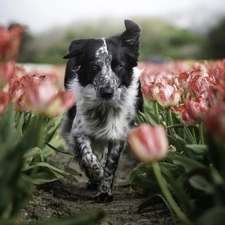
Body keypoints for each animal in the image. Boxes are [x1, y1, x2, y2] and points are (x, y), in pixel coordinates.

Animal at [61, 19, 142, 202]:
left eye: (119, 66)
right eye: (95, 66)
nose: (107, 92)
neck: (104, 108)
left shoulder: (118, 135)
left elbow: (110, 165)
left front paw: (104, 191)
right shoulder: (78, 131)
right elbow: (88, 157)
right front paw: (96, 175)